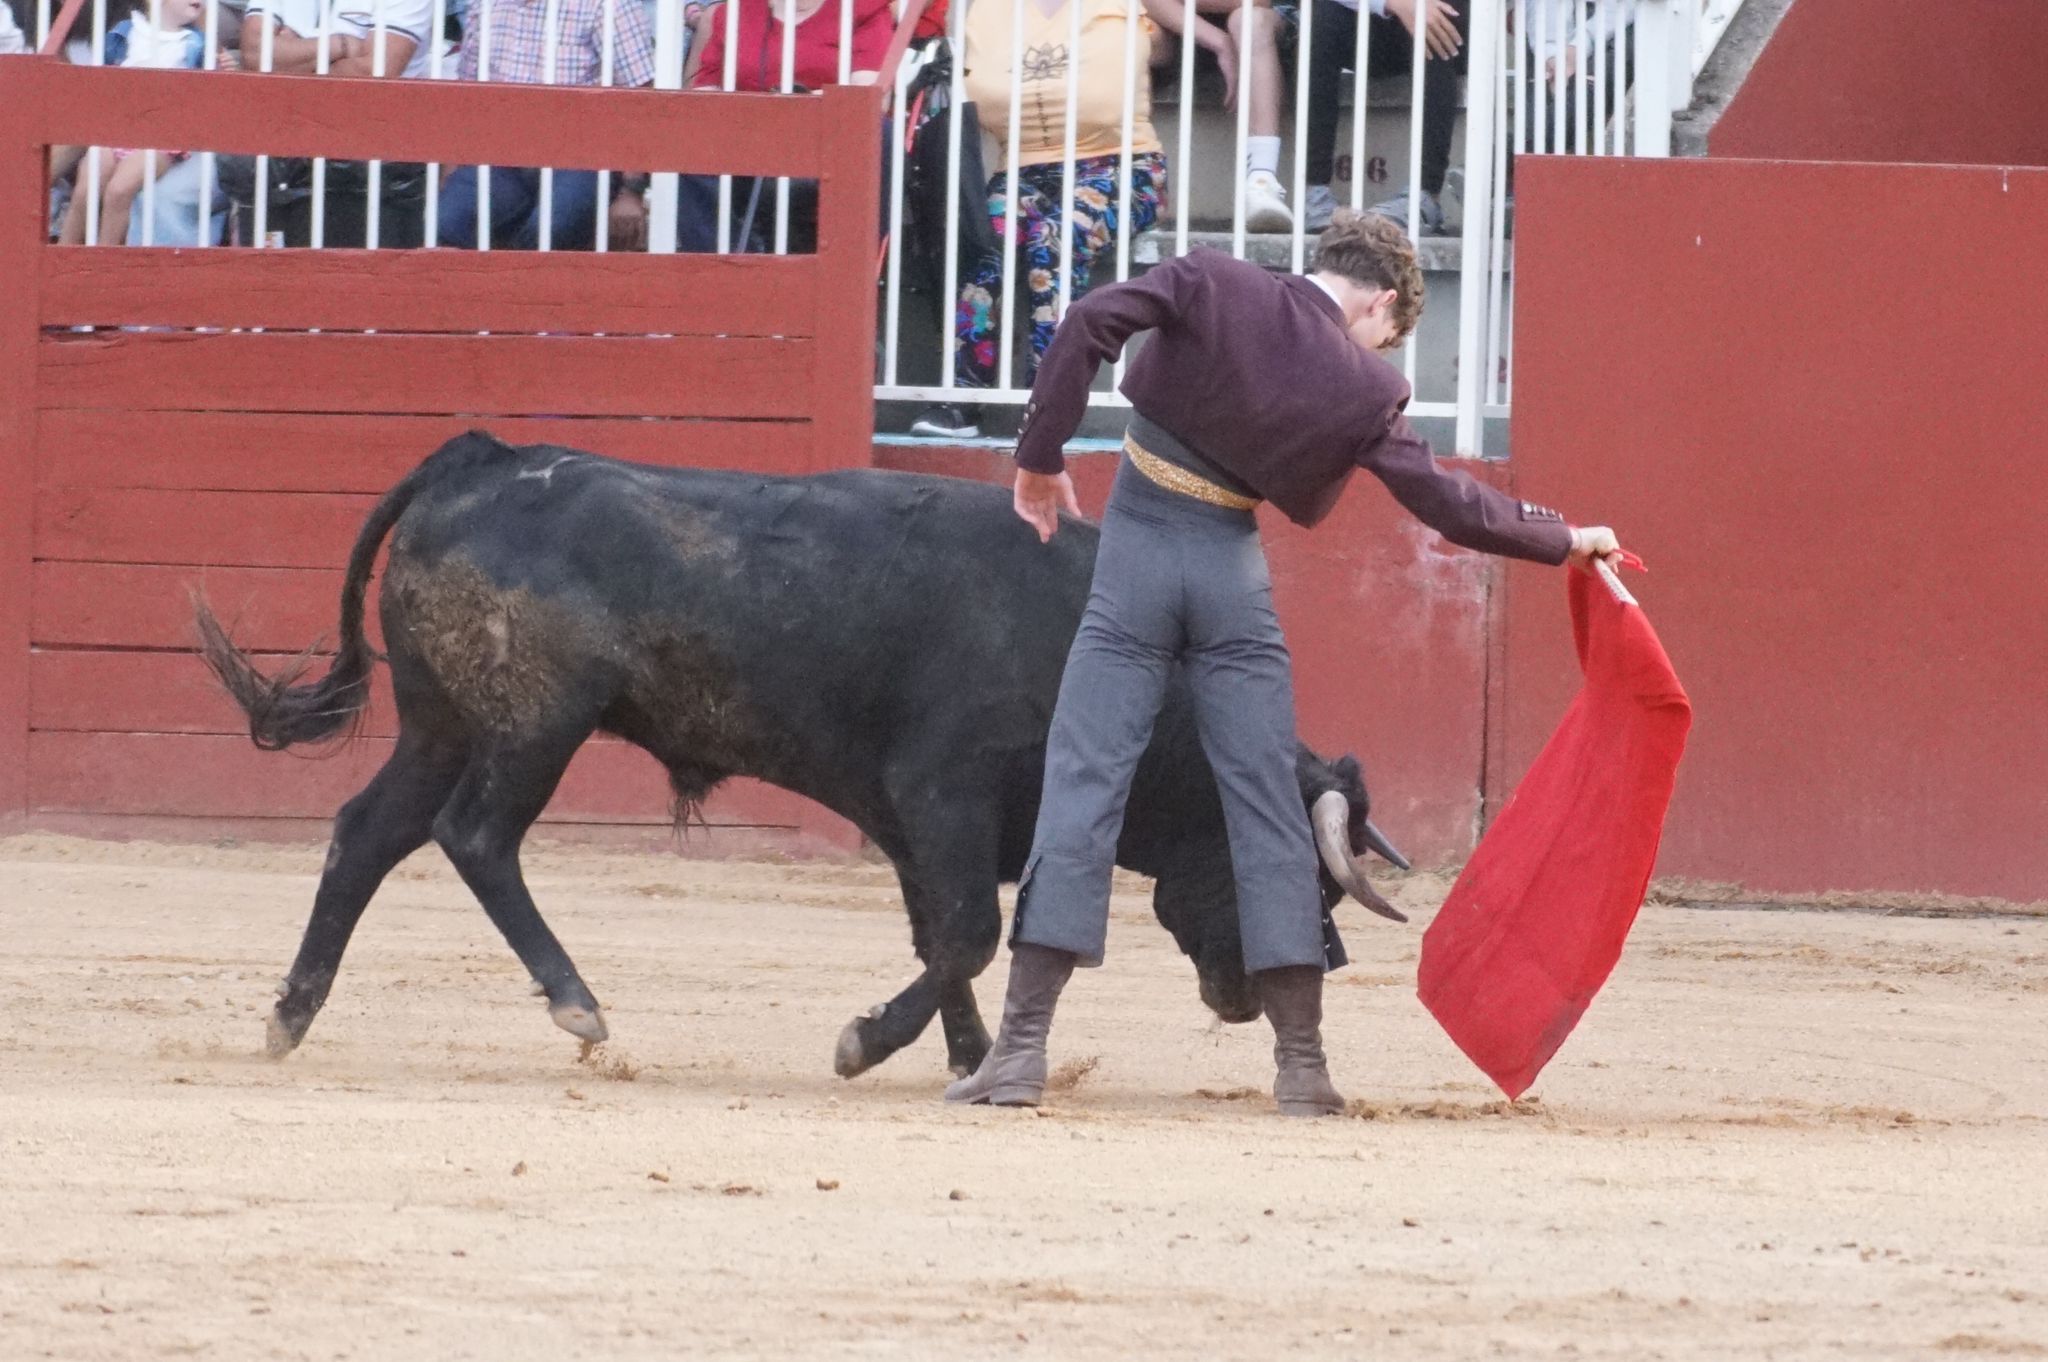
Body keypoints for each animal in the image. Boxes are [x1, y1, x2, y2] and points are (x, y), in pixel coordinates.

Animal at [199, 432, 1409, 1073]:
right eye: (1303, 878)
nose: (1322, 968)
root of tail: (482, 460)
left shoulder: (915, 819)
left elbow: (945, 934)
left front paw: (969, 1058)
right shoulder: (944, 792)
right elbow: (969, 933)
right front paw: (868, 1042)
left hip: (441, 723)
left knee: (368, 833)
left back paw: (289, 1014)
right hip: (536, 725)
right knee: (476, 837)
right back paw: (577, 1003)